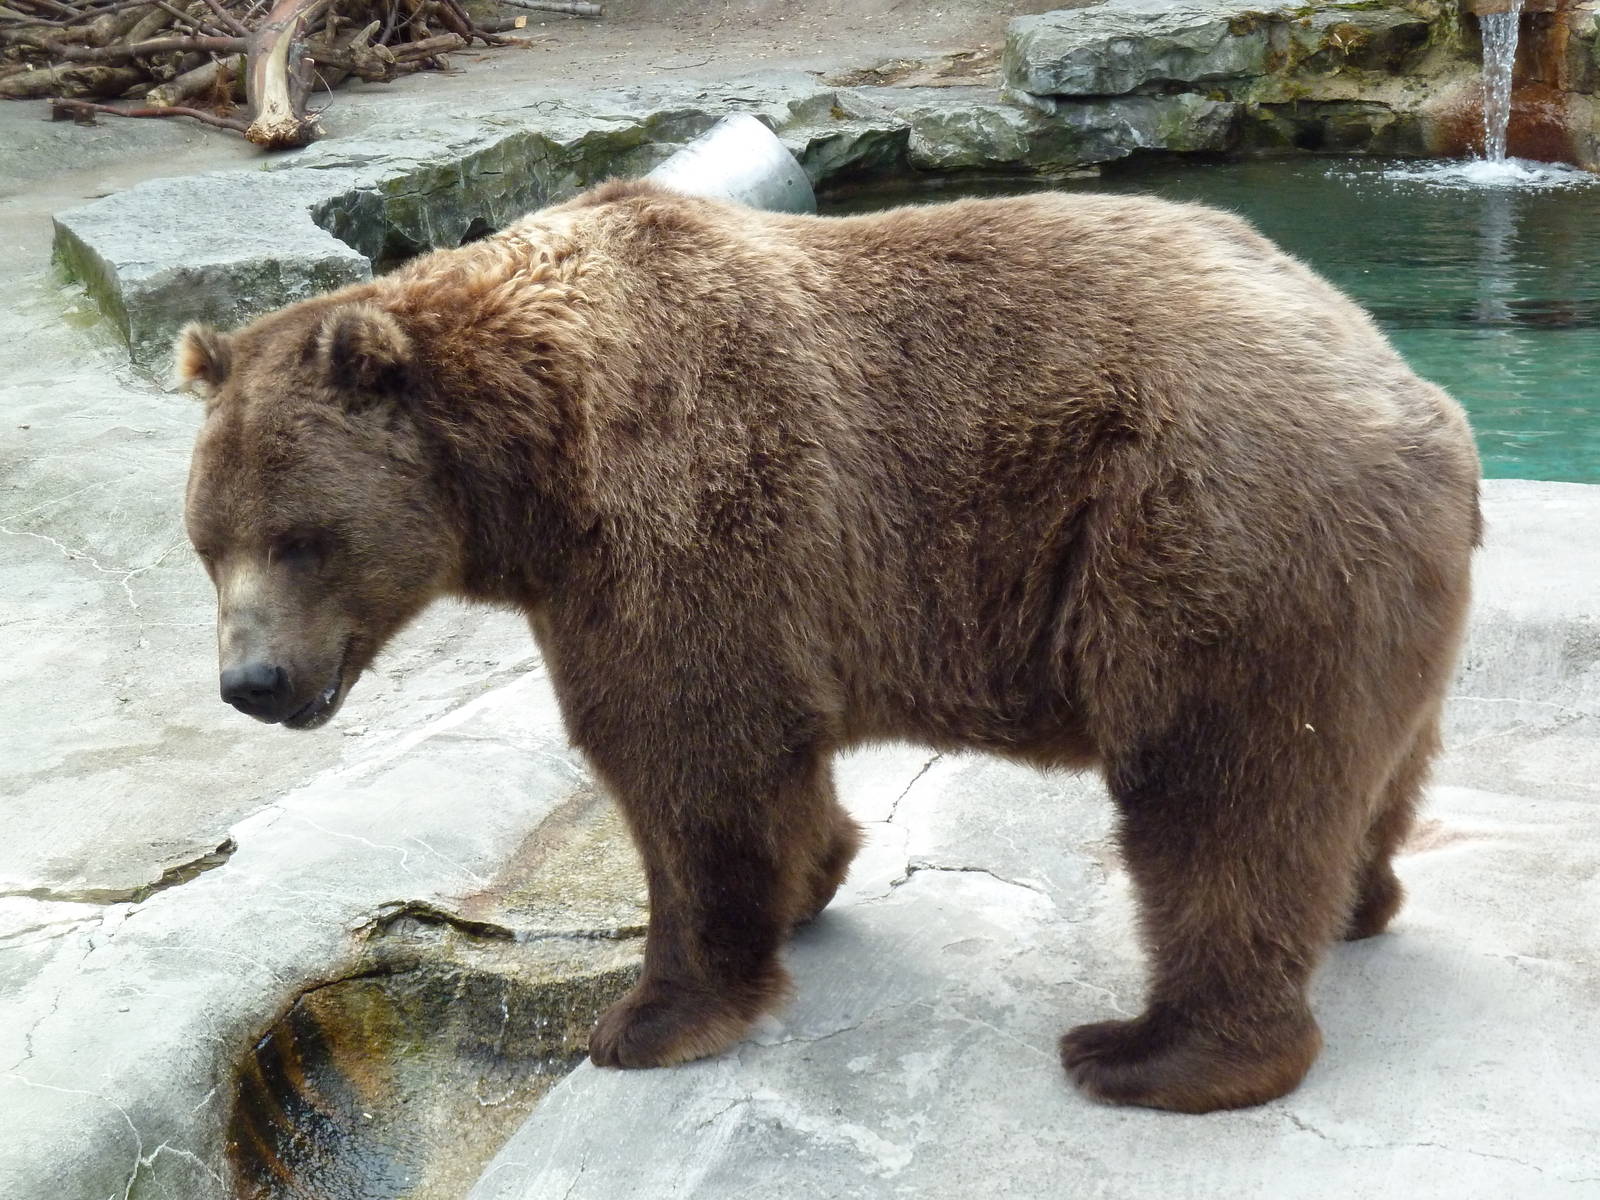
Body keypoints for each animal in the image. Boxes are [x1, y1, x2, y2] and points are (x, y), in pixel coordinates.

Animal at [177, 178, 1481, 1114]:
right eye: (206, 542)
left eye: (301, 539)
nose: (253, 682)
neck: (532, 461)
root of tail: (1418, 396)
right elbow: (763, 770)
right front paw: (810, 882)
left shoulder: (675, 511)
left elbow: (685, 755)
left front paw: (645, 1019)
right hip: (1360, 592)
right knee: (1366, 769)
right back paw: (1359, 903)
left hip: (1210, 538)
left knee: (1216, 797)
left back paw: (1149, 1053)